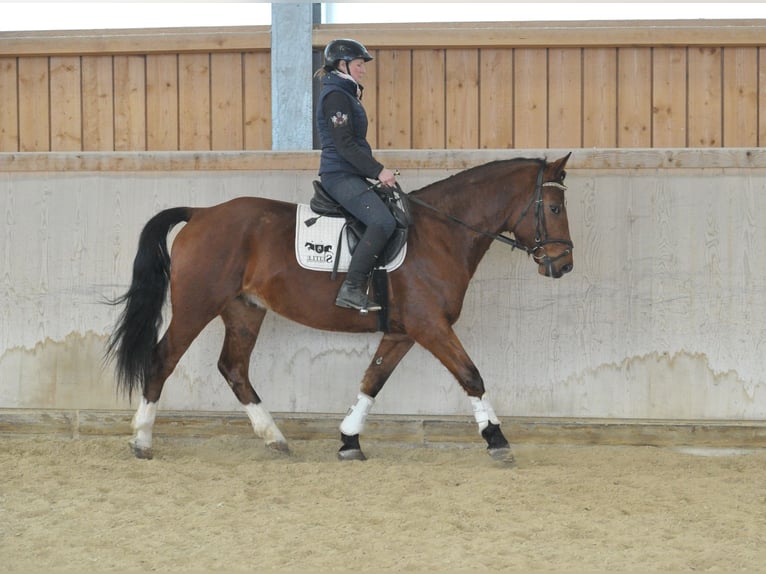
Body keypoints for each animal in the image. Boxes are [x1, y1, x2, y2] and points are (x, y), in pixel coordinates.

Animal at [106, 153, 574, 463]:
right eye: (553, 207)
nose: (564, 265)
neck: (441, 234)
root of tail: (201, 213)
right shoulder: (430, 326)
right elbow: (471, 375)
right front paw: (496, 438)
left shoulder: (403, 331)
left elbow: (372, 381)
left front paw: (350, 440)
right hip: (196, 306)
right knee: (163, 359)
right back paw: (142, 440)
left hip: (244, 310)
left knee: (234, 368)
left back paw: (274, 437)